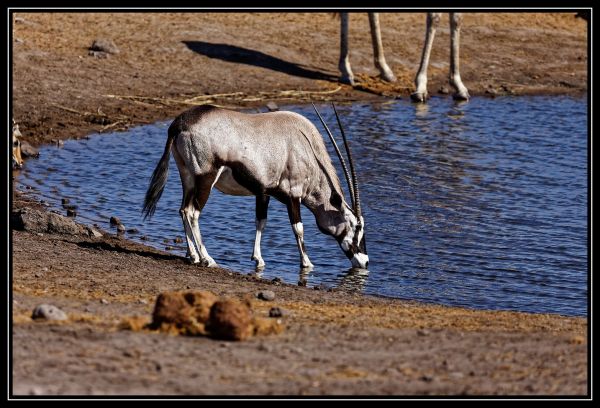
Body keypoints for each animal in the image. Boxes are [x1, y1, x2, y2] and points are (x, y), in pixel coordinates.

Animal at [143, 105, 368, 270]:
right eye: (356, 226)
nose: (365, 262)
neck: (307, 149)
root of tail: (180, 123)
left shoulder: (263, 192)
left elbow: (261, 222)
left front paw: (258, 259)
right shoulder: (293, 195)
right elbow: (298, 228)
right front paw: (307, 263)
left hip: (188, 178)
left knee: (183, 210)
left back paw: (193, 256)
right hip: (206, 178)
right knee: (192, 212)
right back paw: (207, 259)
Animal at [338, 12, 468, 103]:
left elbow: (457, 19)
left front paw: (458, 85)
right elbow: (434, 18)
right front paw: (421, 88)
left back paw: (385, 70)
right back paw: (346, 71)